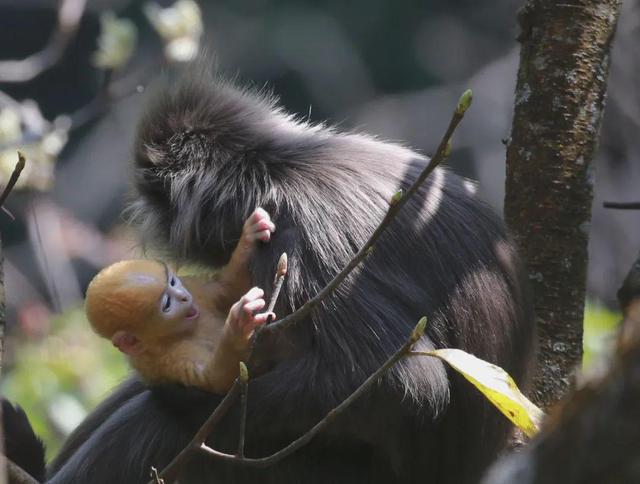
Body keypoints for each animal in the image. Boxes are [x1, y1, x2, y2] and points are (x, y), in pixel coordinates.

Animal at [85, 207, 276, 394]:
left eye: (173, 282)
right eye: (167, 304)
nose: (184, 297)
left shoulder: (195, 290)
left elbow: (227, 288)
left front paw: (249, 237)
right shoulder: (169, 359)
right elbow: (219, 378)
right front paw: (239, 325)